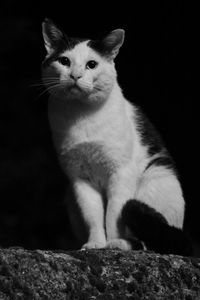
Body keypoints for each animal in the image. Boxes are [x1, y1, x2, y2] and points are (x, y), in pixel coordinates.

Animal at [41, 17, 192, 254]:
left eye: (92, 64)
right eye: (64, 61)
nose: (75, 76)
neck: (81, 114)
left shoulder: (121, 173)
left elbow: (113, 214)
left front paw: (114, 243)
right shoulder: (79, 179)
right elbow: (94, 216)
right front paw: (95, 244)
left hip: (154, 179)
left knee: (150, 241)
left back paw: (129, 244)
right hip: (70, 198)